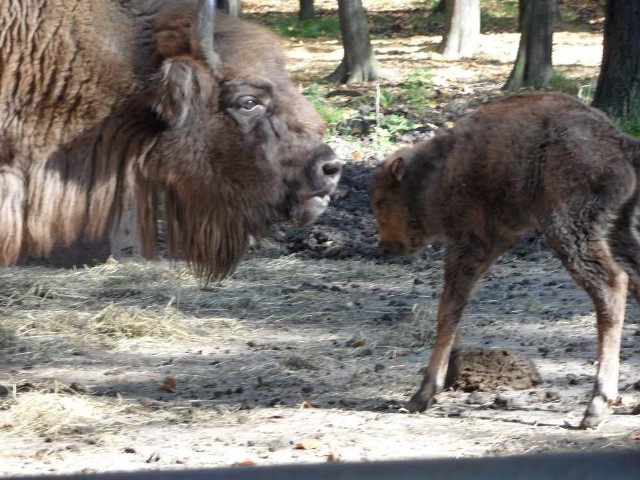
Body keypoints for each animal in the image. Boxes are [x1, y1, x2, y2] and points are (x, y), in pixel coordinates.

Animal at [370, 93, 640, 428]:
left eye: (382, 201)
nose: (386, 246)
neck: (441, 169)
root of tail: (620, 142)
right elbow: (454, 309)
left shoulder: (470, 243)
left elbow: (448, 309)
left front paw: (423, 394)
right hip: (617, 229)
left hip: (568, 230)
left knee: (613, 285)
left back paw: (596, 407)